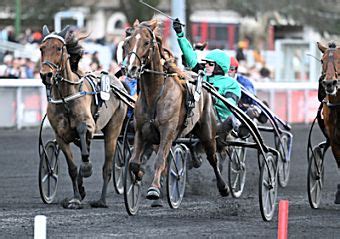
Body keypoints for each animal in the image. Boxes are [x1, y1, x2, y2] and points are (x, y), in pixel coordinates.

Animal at [38, 26, 129, 208]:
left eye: (58, 48)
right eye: (42, 49)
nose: (46, 75)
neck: (66, 98)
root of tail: (117, 82)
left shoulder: (89, 125)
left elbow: (82, 132)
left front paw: (86, 168)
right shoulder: (61, 136)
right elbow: (73, 168)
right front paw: (76, 197)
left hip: (114, 129)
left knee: (107, 167)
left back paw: (101, 200)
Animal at [123, 19, 230, 200]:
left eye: (146, 42)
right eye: (127, 42)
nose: (131, 69)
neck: (155, 95)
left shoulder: (167, 130)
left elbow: (160, 160)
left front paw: (154, 189)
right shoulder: (140, 131)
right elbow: (134, 162)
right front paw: (139, 175)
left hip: (207, 131)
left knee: (213, 157)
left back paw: (223, 187)